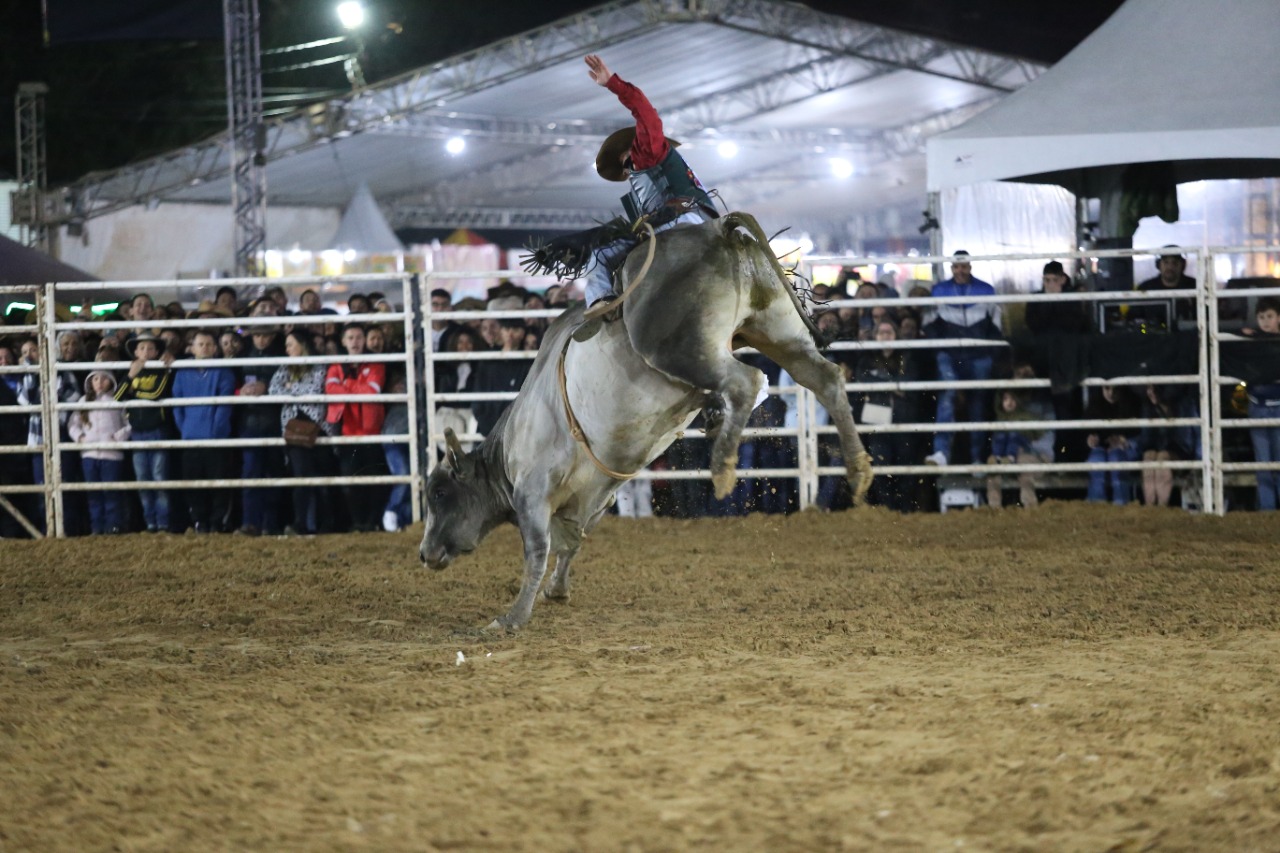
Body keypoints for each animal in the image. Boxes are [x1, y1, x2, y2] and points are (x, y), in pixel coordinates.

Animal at [419, 212, 870, 625]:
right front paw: (557, 590)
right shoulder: (597, 495)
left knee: (747, 381)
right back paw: (859, 468)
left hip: (680, 347)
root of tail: (719, 229)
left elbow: (538, 551)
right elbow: (572, 543)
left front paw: (512, 618)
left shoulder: (532, 492)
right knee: (825, 378)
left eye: (439, 493)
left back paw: (724, 467)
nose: (423, 554)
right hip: (777, 330)